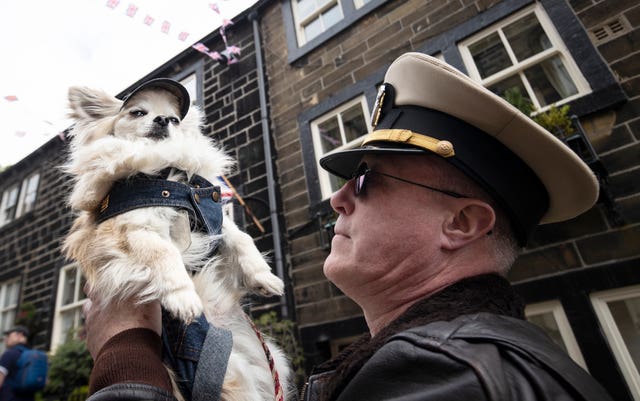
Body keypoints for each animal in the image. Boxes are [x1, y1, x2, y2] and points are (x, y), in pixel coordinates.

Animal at [63, 79, 294, 398]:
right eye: (137, 112)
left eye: (174, 120)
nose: (162, 120)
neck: (167, 177)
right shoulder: (130, 230)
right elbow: (165, 253)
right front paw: (183, 297)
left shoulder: (214, 217)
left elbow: (242, 238)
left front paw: (264, 277)